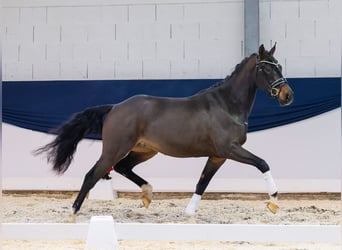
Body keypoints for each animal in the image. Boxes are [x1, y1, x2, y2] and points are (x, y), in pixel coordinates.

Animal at [35, 45, 294, 217]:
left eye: (280, 66)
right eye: (266, 69)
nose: (287, 95)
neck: (226, 105)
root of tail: (116, 107)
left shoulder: (217, 155)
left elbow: (202, 183)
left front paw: (189, 213)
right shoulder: (229, 149)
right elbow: (262, 163)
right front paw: (274, 201)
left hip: (145, 151)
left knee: (122, 168)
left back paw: (147, 194)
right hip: (114, 149)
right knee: (93, 175)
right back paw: (73, 211)